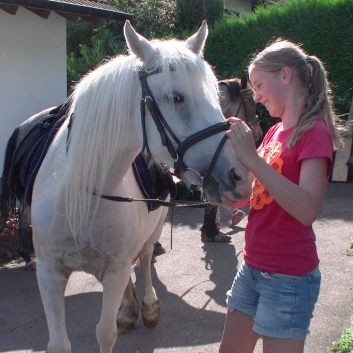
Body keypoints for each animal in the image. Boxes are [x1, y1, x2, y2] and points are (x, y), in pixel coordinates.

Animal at [29, 22, 250, 352]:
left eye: (215, 95)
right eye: (177, 97)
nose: (239, 176)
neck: (83, 196)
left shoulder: (115, 271)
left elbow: (105, 333)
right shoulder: (48, 272)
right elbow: (59, 343)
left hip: (154, 228)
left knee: (145, 259)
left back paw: (146, 308)